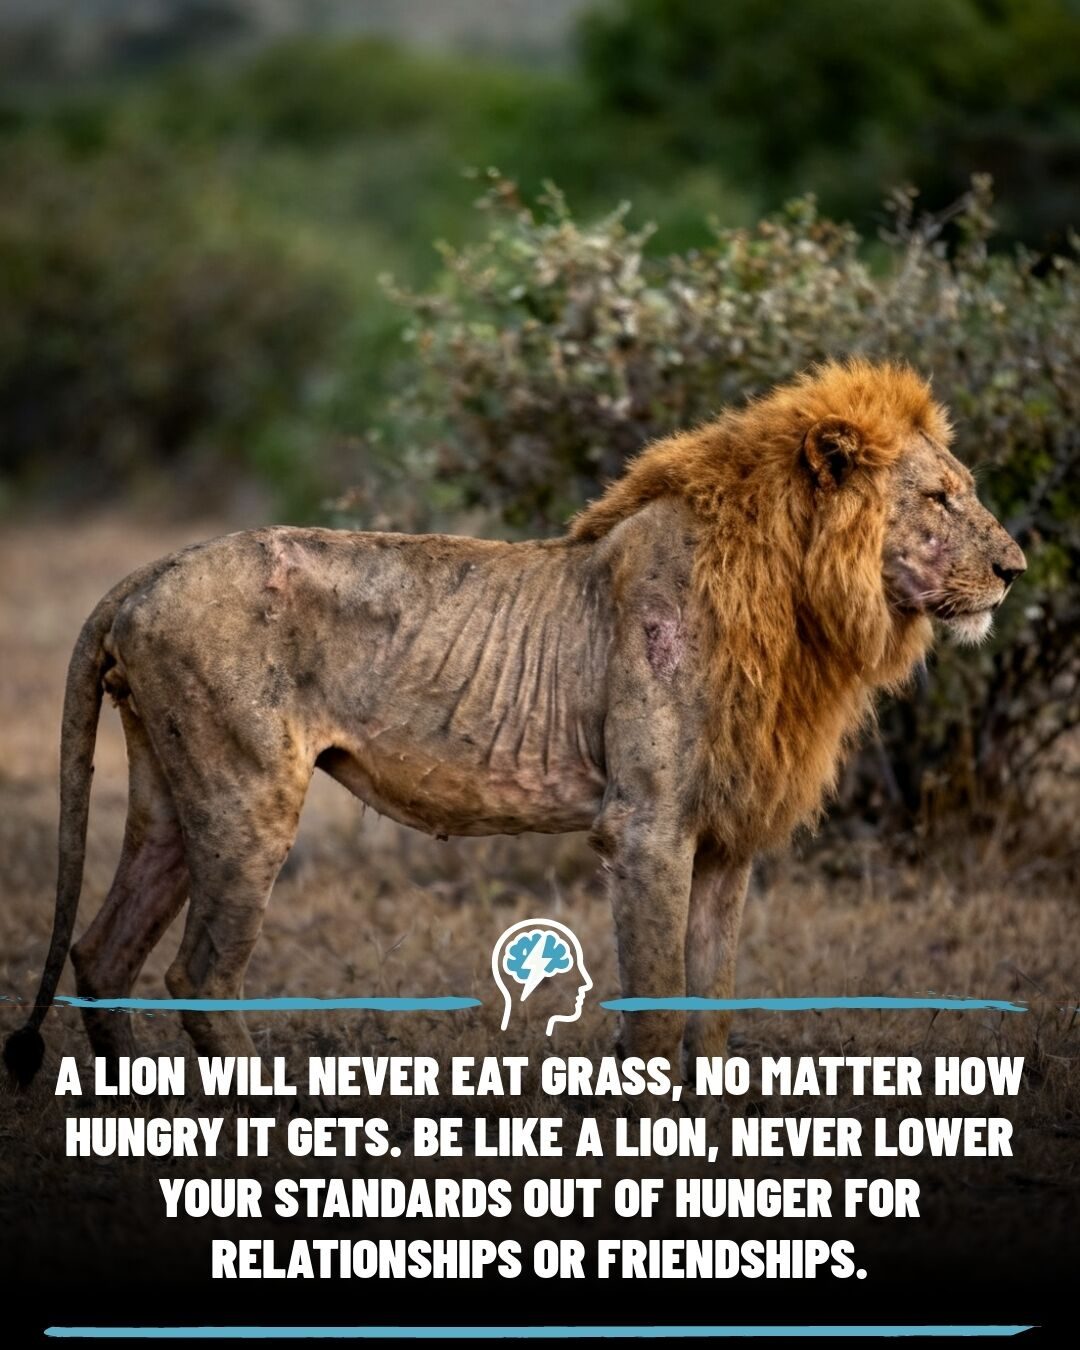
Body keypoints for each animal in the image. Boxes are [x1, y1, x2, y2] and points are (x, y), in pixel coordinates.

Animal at [5, 359, 1025, 1086]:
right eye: (938, 498)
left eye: (964, 486)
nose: (1016, 568)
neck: (801, 608)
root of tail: (152, 570)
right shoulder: (646, 829)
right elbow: (658, 1010)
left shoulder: (727, 842)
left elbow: (714, 1015)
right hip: (248, 795)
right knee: (201, 979)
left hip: (173, 797)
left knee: (103, 954)